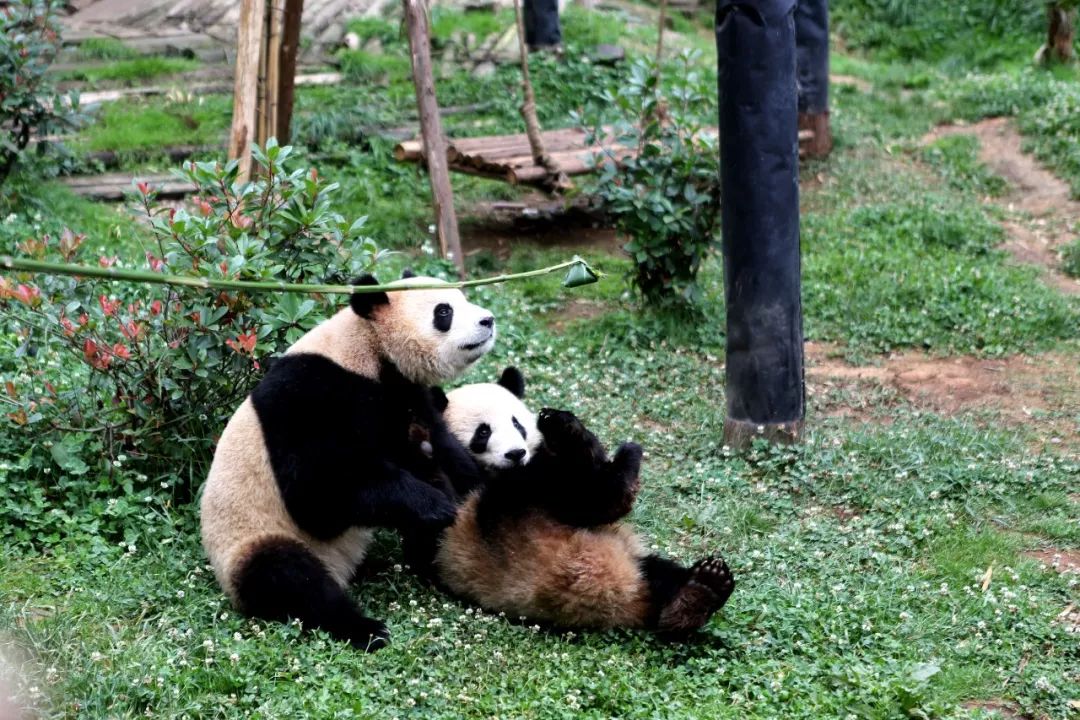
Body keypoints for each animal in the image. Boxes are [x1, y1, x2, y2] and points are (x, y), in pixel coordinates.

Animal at [199, 273, 494, 651]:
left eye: (462, 299)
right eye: (444, 311)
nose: (488, 320)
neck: (367, 348)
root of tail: (340, 572)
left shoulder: (404, 394)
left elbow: (443, 446)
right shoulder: (310, 396)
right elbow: (318, 494)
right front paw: (436, 505)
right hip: (251, 540)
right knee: (288, 577)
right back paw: (365, 629)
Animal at [429, 371, 734, 634]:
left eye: (517, 423)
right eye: (483, 432)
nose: (516, 453)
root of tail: (624, 600)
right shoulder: (516, 491)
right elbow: (600, 499)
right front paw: (576, 433)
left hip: (634, 563)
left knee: (661, 574)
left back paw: (700, 592)